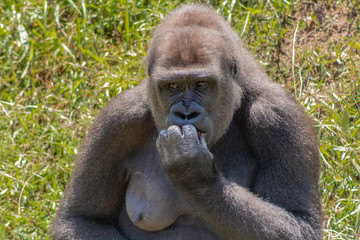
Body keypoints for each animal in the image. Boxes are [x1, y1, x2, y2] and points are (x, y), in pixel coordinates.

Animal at [49, 4, 322, 240]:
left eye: (201, 84)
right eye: (172, 87)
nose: (186, 114)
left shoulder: (278, 117)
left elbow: (300, 223)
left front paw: (194, 174)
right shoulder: (117, 120)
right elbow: (79, 219)